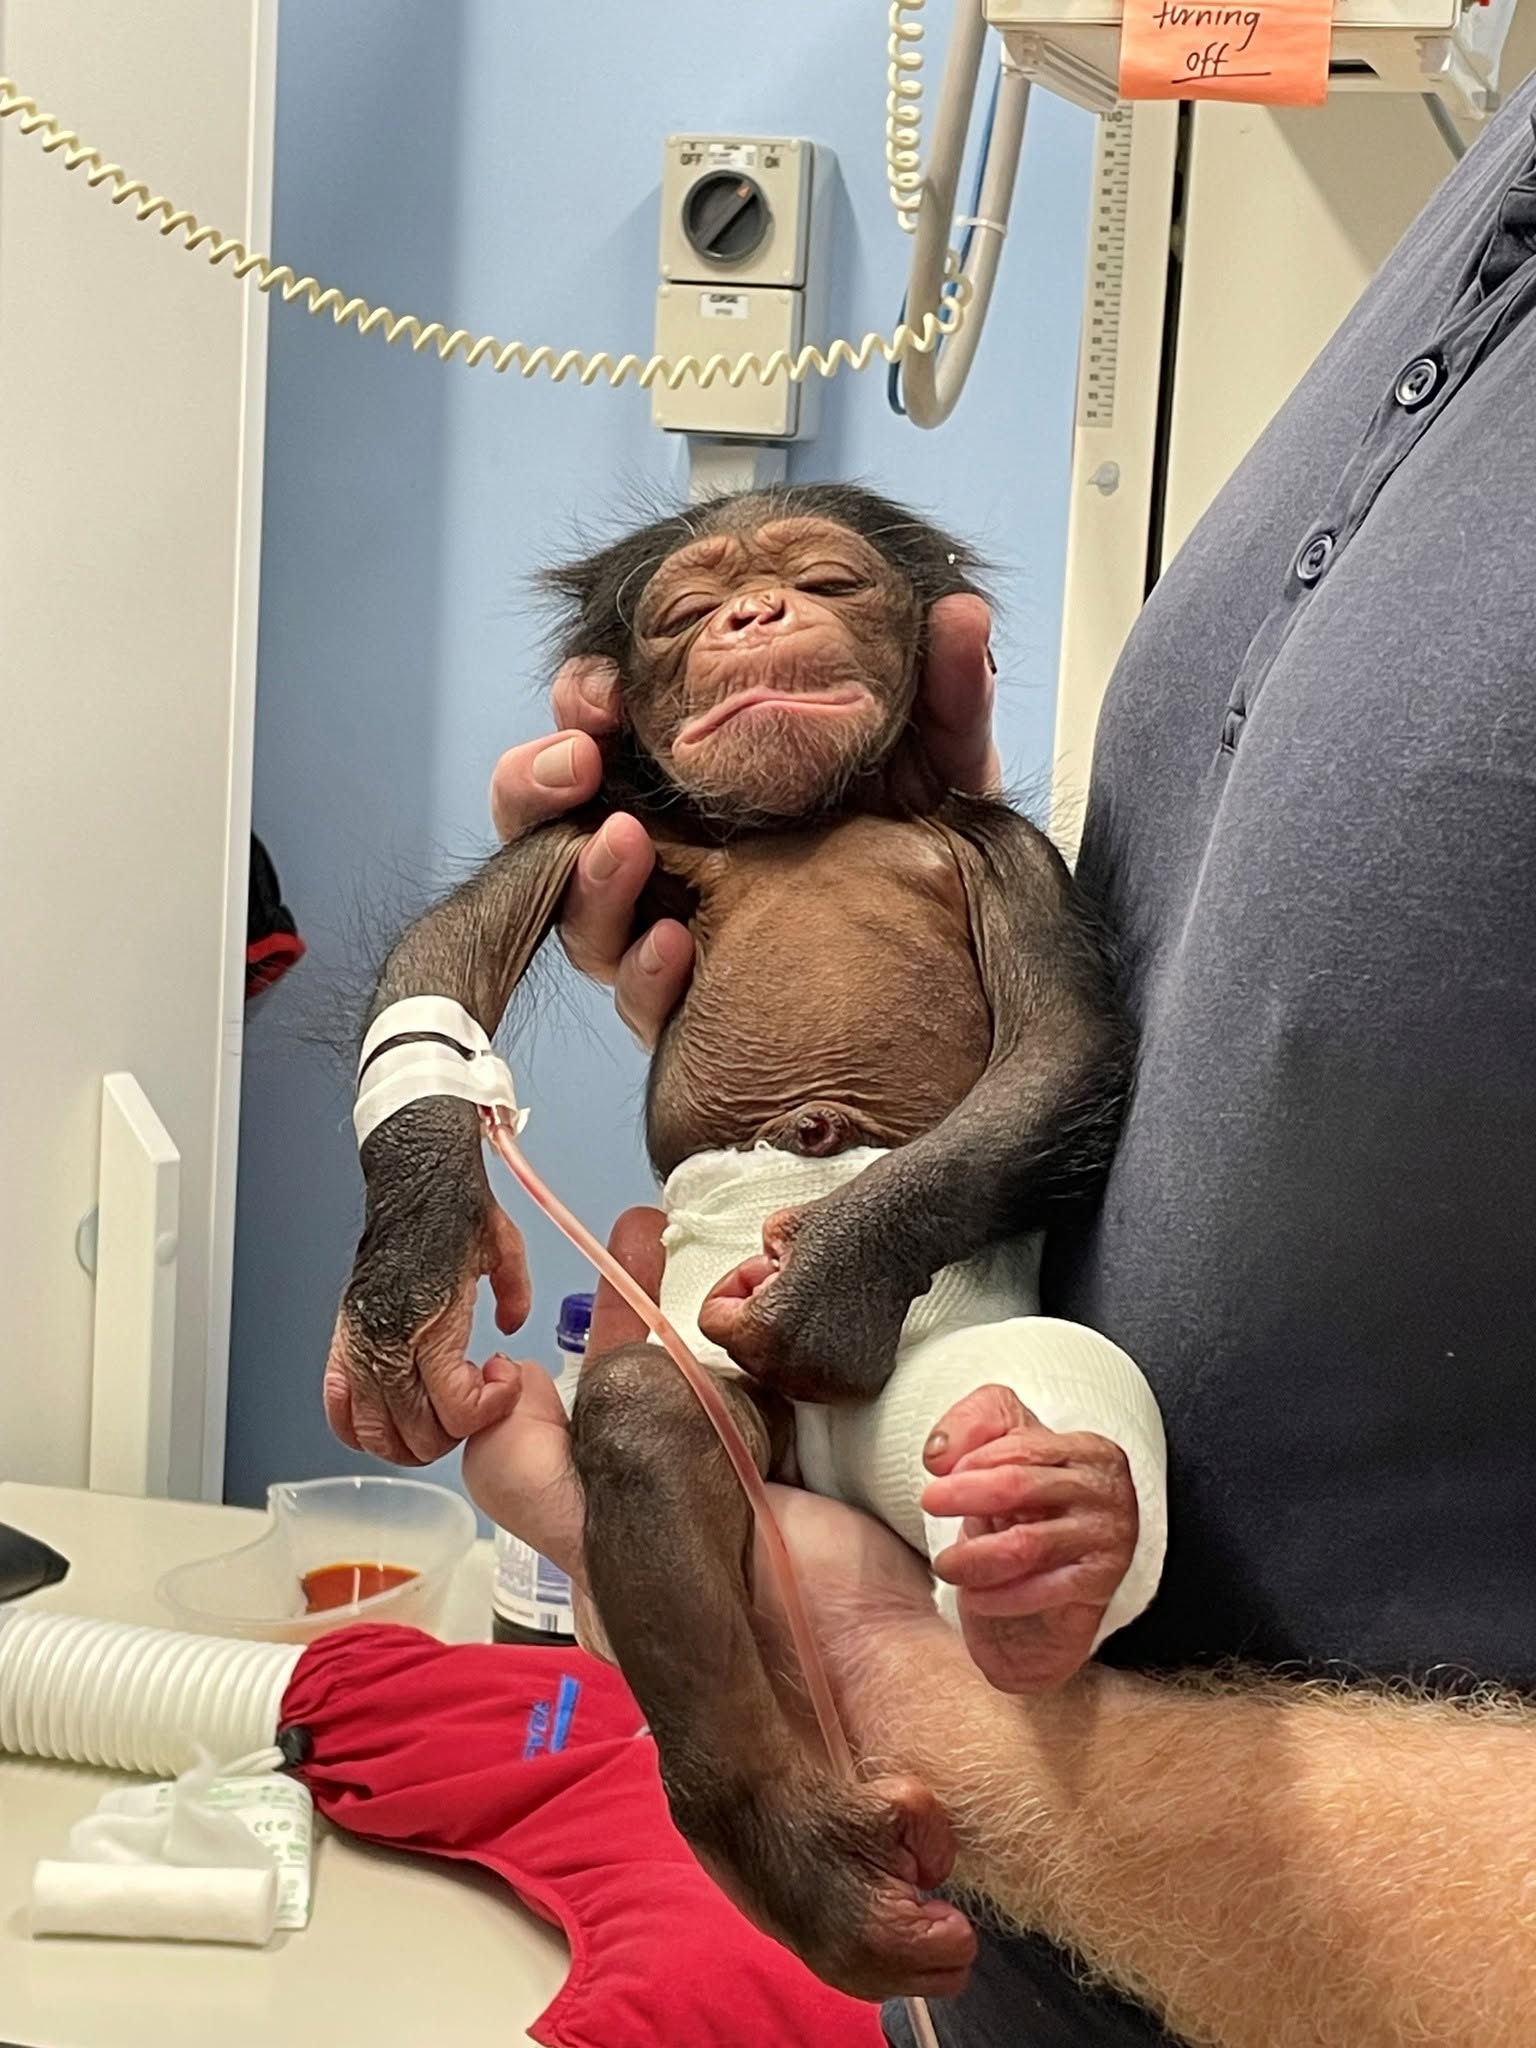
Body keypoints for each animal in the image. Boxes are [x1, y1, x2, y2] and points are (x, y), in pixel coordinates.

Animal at [324, 483, 1167, 2001]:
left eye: (826, 579)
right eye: (682, 611)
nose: (755, 612)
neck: (810, 812)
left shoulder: (1007, 855)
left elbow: (1064, 1044)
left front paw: (820, 1284)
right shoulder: (609, 821)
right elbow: (449, 958)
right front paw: (411, 1284)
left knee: (1020, 1391)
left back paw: (1052, 1525)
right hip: (693, 1361)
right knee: (655, 1426)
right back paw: (806, 1853)